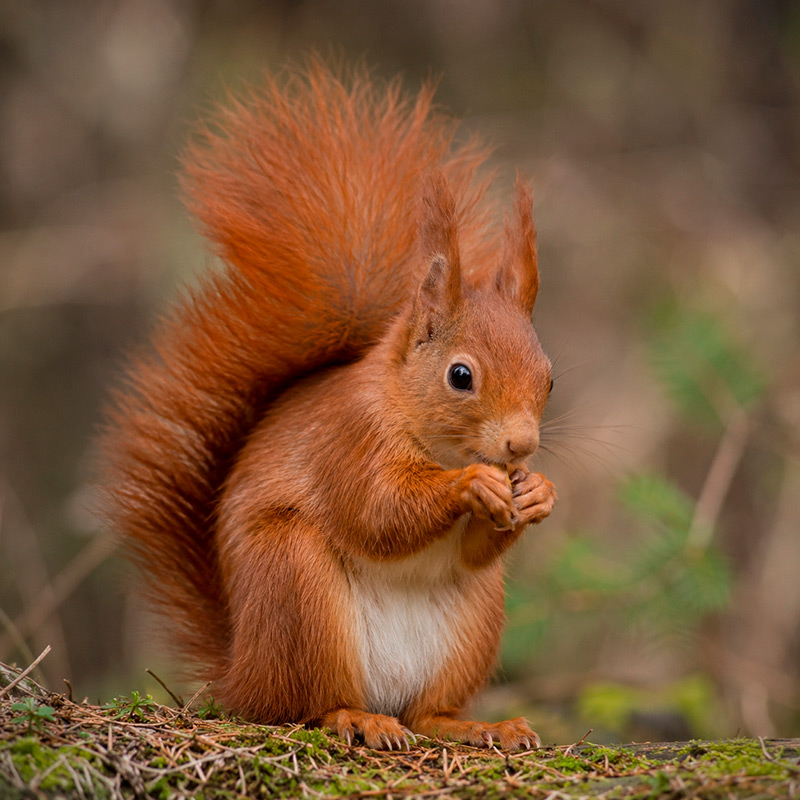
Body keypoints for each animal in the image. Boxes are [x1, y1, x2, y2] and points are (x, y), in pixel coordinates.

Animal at [101, 58, 557, 751]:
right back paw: (357, 718)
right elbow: (379, 511)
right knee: (307, 704)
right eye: (460, 376)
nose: (521, 446)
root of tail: (241, 673)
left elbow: (474, 548)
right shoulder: (350, 439)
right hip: (297, 586)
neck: (425, 430)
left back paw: (478, 726)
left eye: (550, 379)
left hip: (474, 620)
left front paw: (538, 494)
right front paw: (472, 484)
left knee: (426, 712)